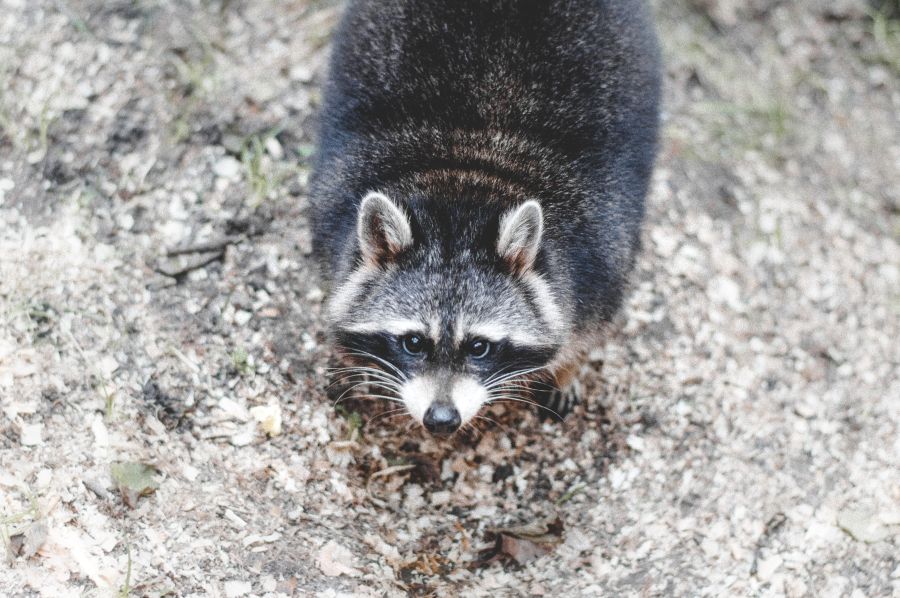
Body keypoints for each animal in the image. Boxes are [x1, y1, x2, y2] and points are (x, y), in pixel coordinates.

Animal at [310, 0, 660, 434]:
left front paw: (568, 368)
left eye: (479, 346)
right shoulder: (334, 209)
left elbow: (589, 325)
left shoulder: (601, 252)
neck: (467, 177)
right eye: (413, 342)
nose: (442, 420)